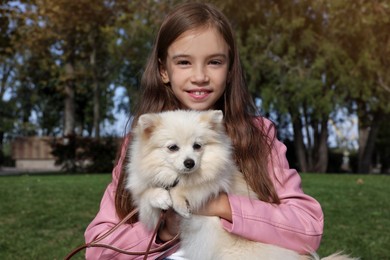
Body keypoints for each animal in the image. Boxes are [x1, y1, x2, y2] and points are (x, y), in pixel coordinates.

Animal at [125, 109, 356, 260]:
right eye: (172, 148)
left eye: (197, 146)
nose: (189, 162)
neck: (178, 176)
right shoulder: (148, 203)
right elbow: (147, 198)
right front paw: (160, 196)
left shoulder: (215, 181)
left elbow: (194, 187)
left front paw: (180, 201)